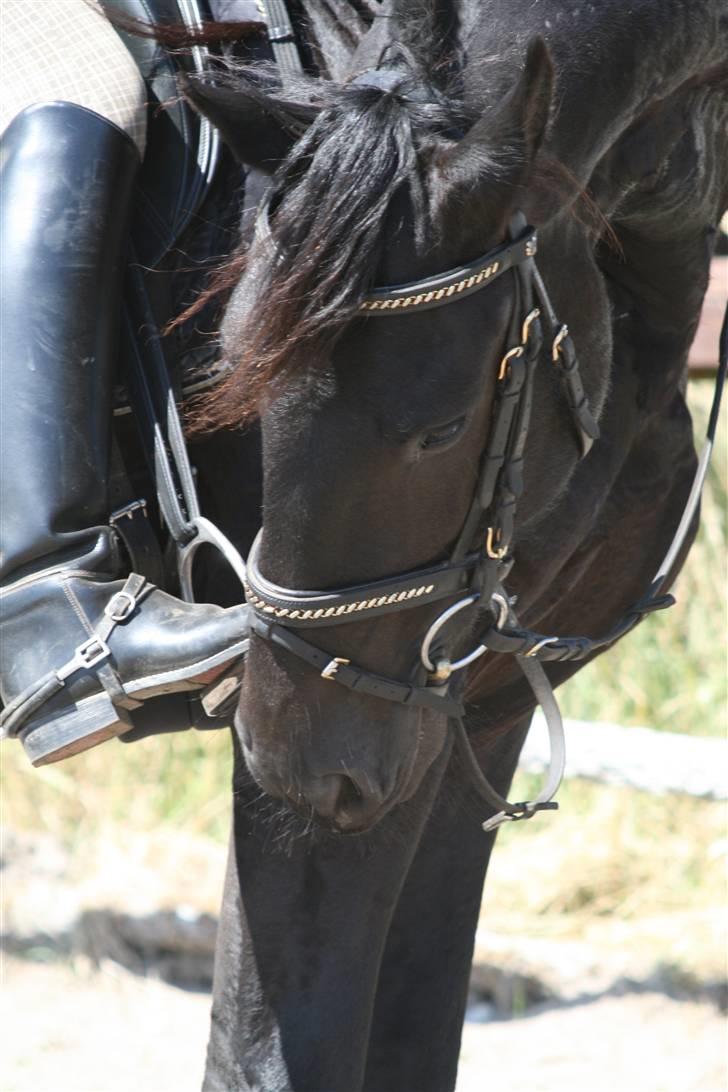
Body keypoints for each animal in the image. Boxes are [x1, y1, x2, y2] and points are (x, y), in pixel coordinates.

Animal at [150, 0, 724, 1087]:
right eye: (234, 375)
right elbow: (265, 1054)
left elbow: (417, 1035)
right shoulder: (359, 775)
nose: (291, 756)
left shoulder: (478, 714)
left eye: (442, 428)